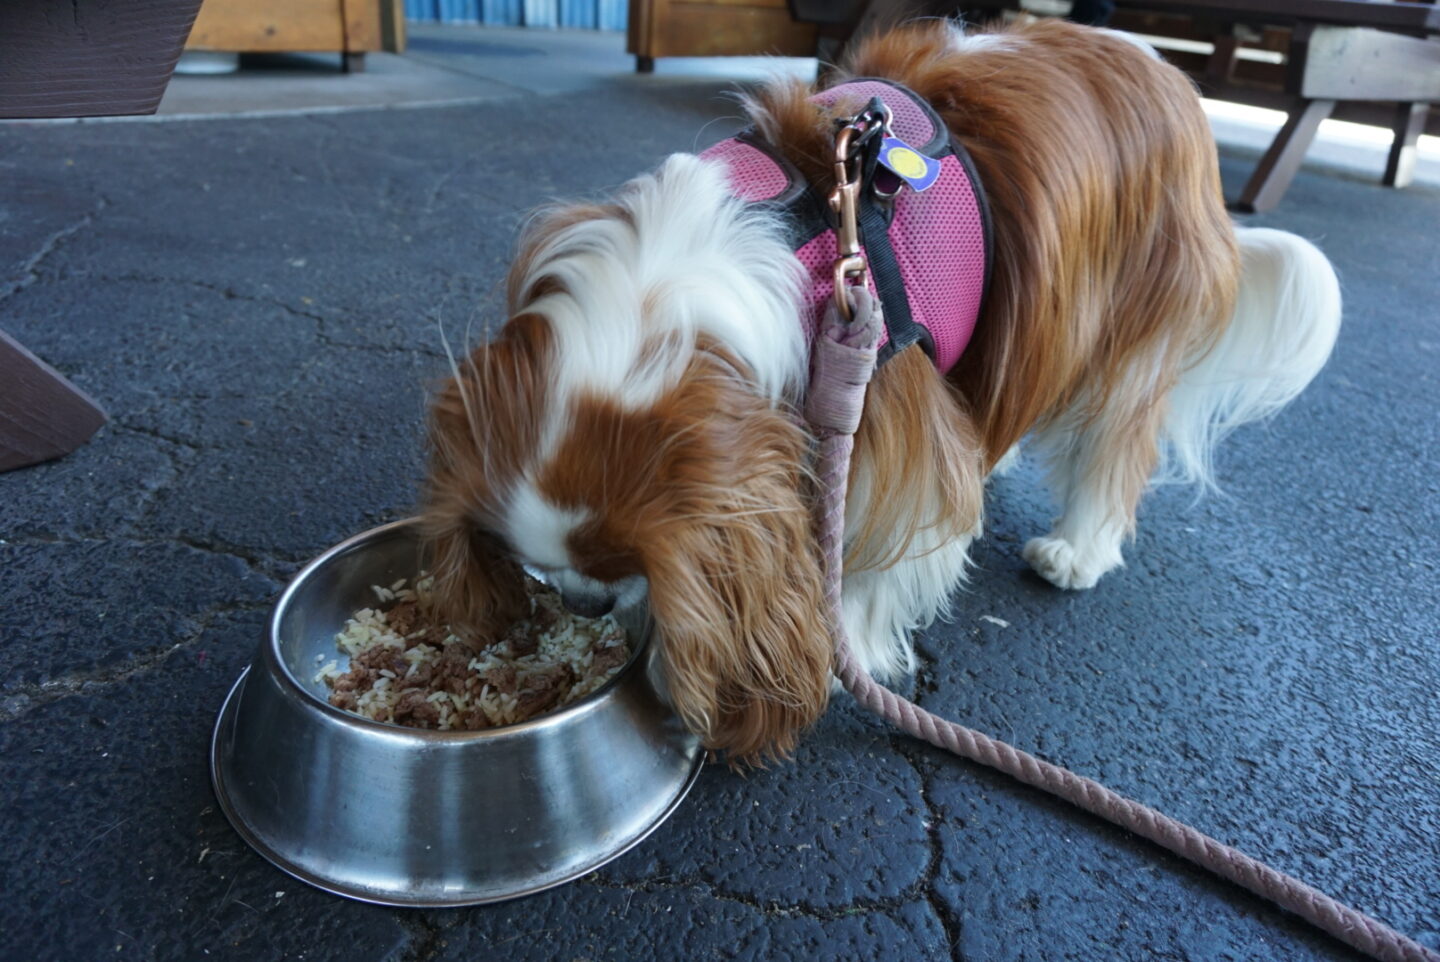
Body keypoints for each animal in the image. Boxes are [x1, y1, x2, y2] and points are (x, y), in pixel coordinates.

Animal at [420, 18, 1342, 760]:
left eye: (614, 564)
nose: (586, 602)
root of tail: (1169, 74)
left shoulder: (886, 397)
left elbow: (887, 549)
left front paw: (842, 652)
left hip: (1128, 331)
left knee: (1113, 447)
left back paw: (1077, 549)